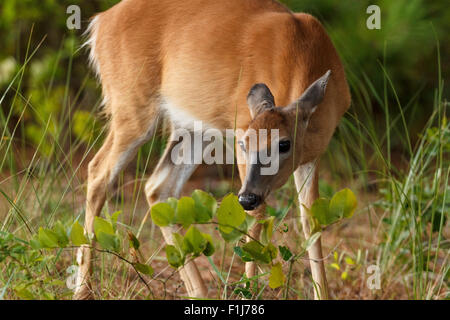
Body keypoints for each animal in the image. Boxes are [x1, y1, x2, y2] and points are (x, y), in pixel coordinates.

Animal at [74, 0, 352, 300]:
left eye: (284, 143)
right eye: (244, 143)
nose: (246, 197)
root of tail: (101, 22)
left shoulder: (312, 156)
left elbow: (311, 221)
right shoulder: (239, 125)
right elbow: (256, 218)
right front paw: (248, 290)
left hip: (193, 127)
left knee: (157, 186)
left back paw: (199, 292)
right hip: (132, 104)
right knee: (98, 171)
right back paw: (83, 289)